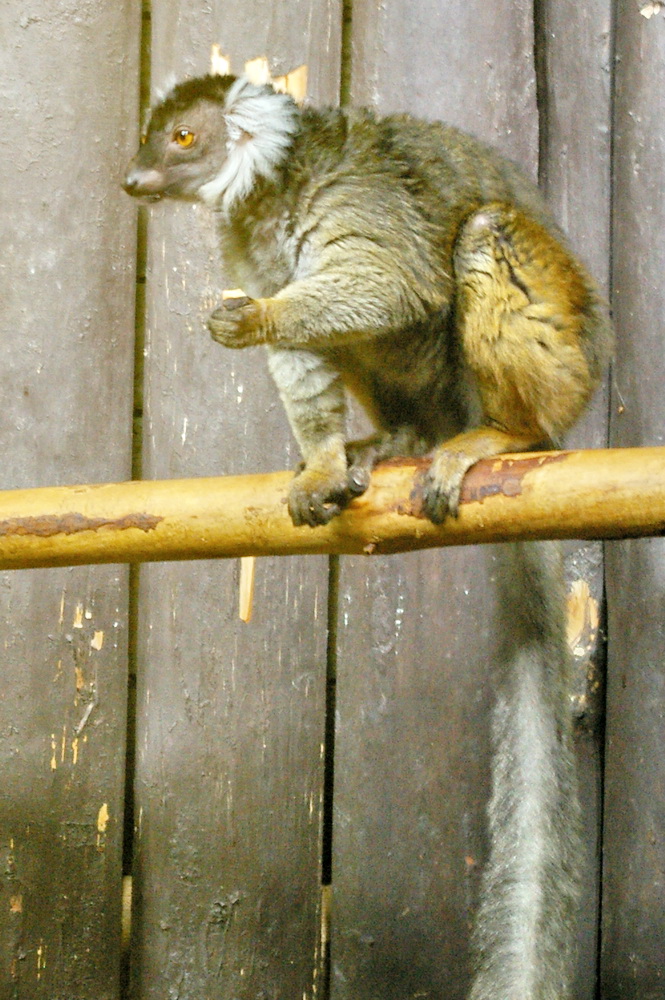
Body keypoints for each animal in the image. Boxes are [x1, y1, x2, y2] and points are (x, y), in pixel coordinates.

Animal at [124, 74, 612, 999]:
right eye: (154, 138)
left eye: (181, 138)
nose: (134, 180)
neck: (270, 192)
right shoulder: (244, 241)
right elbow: (300, 353)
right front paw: (320, 460)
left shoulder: (360, 200)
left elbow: (392, 283)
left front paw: (257, 318)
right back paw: (393, 439)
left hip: (564, 369)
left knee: (480, 237)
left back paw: (505, 436)